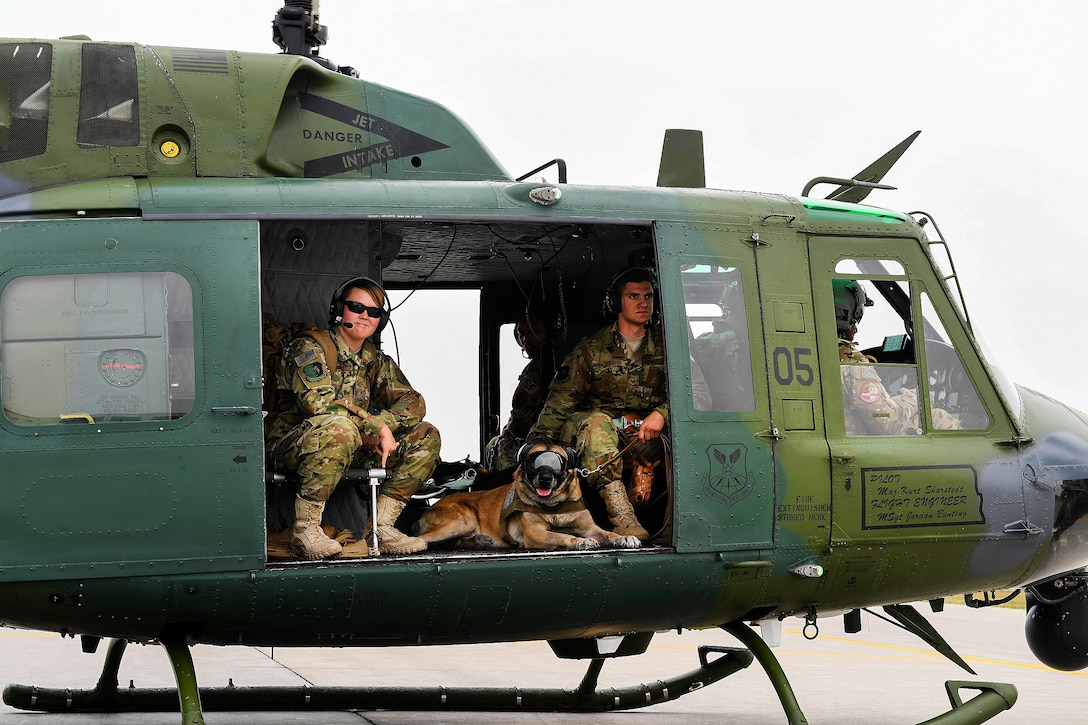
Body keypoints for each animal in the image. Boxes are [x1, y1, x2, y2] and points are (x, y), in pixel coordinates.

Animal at [413, 439, 635, 548]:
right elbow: (561, 536)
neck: (554, 505)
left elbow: (607, 533)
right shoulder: (535, 534)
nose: (545, 477)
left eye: (557, 463)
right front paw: (581, 541)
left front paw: (624, 538)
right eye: (532, 461)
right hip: (460, 522)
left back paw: (478, 540)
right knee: (427, 540)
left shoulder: (589, 527)